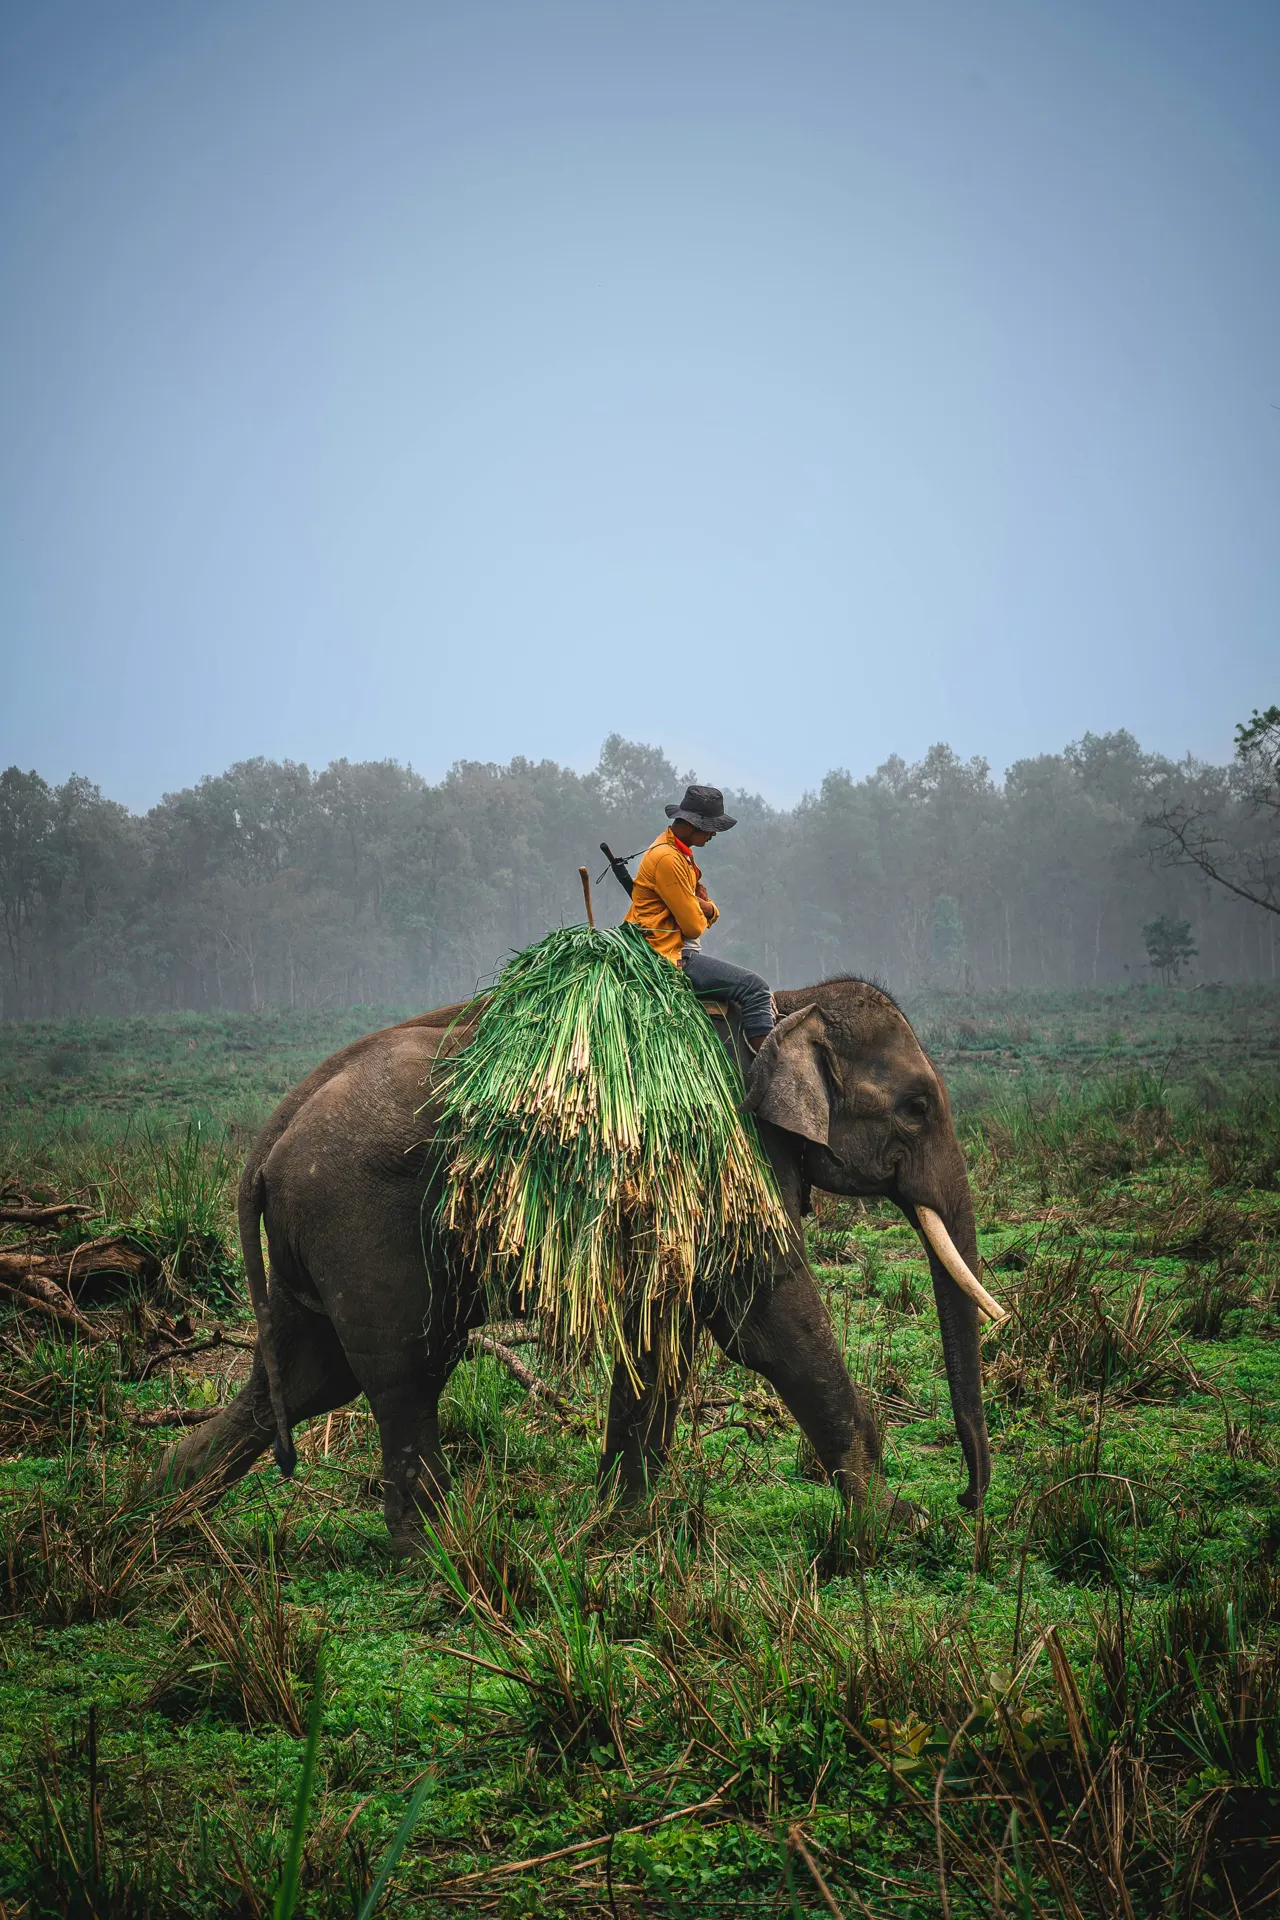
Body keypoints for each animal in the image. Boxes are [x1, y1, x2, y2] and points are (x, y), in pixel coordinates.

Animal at [158, 978, 996, 1552]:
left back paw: (154, 1521)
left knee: (305, 1378)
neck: (788, 1003)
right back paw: (441, 1554)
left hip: (314, 1242)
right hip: (360, 1223)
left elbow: (661, 1335)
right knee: (404, 1370)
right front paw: (897, 1526)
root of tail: (271, 1134)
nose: (966, 1501)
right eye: (917, 1107)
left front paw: (616, 1526)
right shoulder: (720, 1156)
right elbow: (768, 1323)